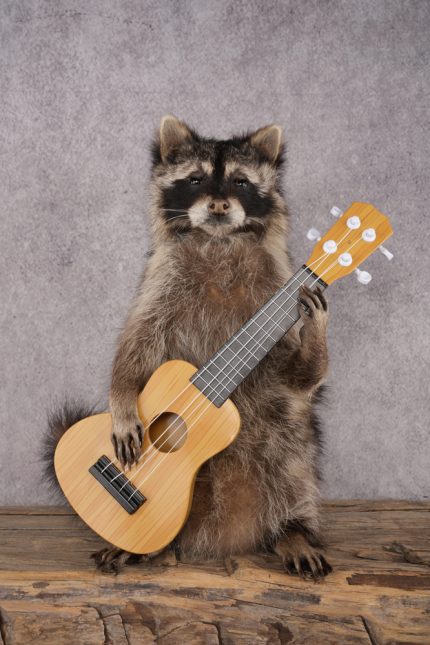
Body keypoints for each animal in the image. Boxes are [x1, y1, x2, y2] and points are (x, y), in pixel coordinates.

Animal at [45, 115, 332, 580]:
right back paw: (143, 548)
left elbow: (297, 379)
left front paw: (316, 333)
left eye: (240, 182)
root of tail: (227, 533)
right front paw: (121, 397)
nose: (218, 206)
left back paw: (293, 530)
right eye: (195, 179)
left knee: (293, 457)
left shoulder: (274, 282)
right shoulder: (162, 279)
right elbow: (135, 343)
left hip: (286, 443)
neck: (219, 240)